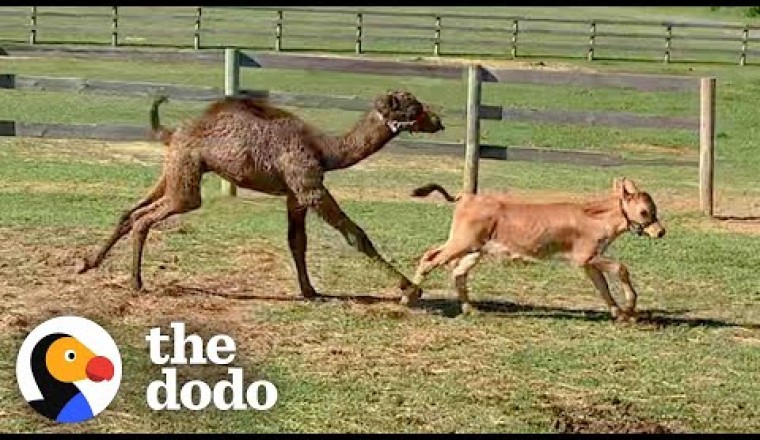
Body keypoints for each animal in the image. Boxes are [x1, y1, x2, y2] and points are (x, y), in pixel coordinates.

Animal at [77, 91, 445, 300]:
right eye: (413, 107)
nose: (438, 120)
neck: (326, 151)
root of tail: (172, 131)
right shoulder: (309, 186)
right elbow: (356, 235)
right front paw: (411, 290)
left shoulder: (294, 195)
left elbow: (297, 242)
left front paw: (310, 291)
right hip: (186, 180)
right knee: (145, 216)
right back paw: (136, 283)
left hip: (174, 169)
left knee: (130, 211)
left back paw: (90, 264)